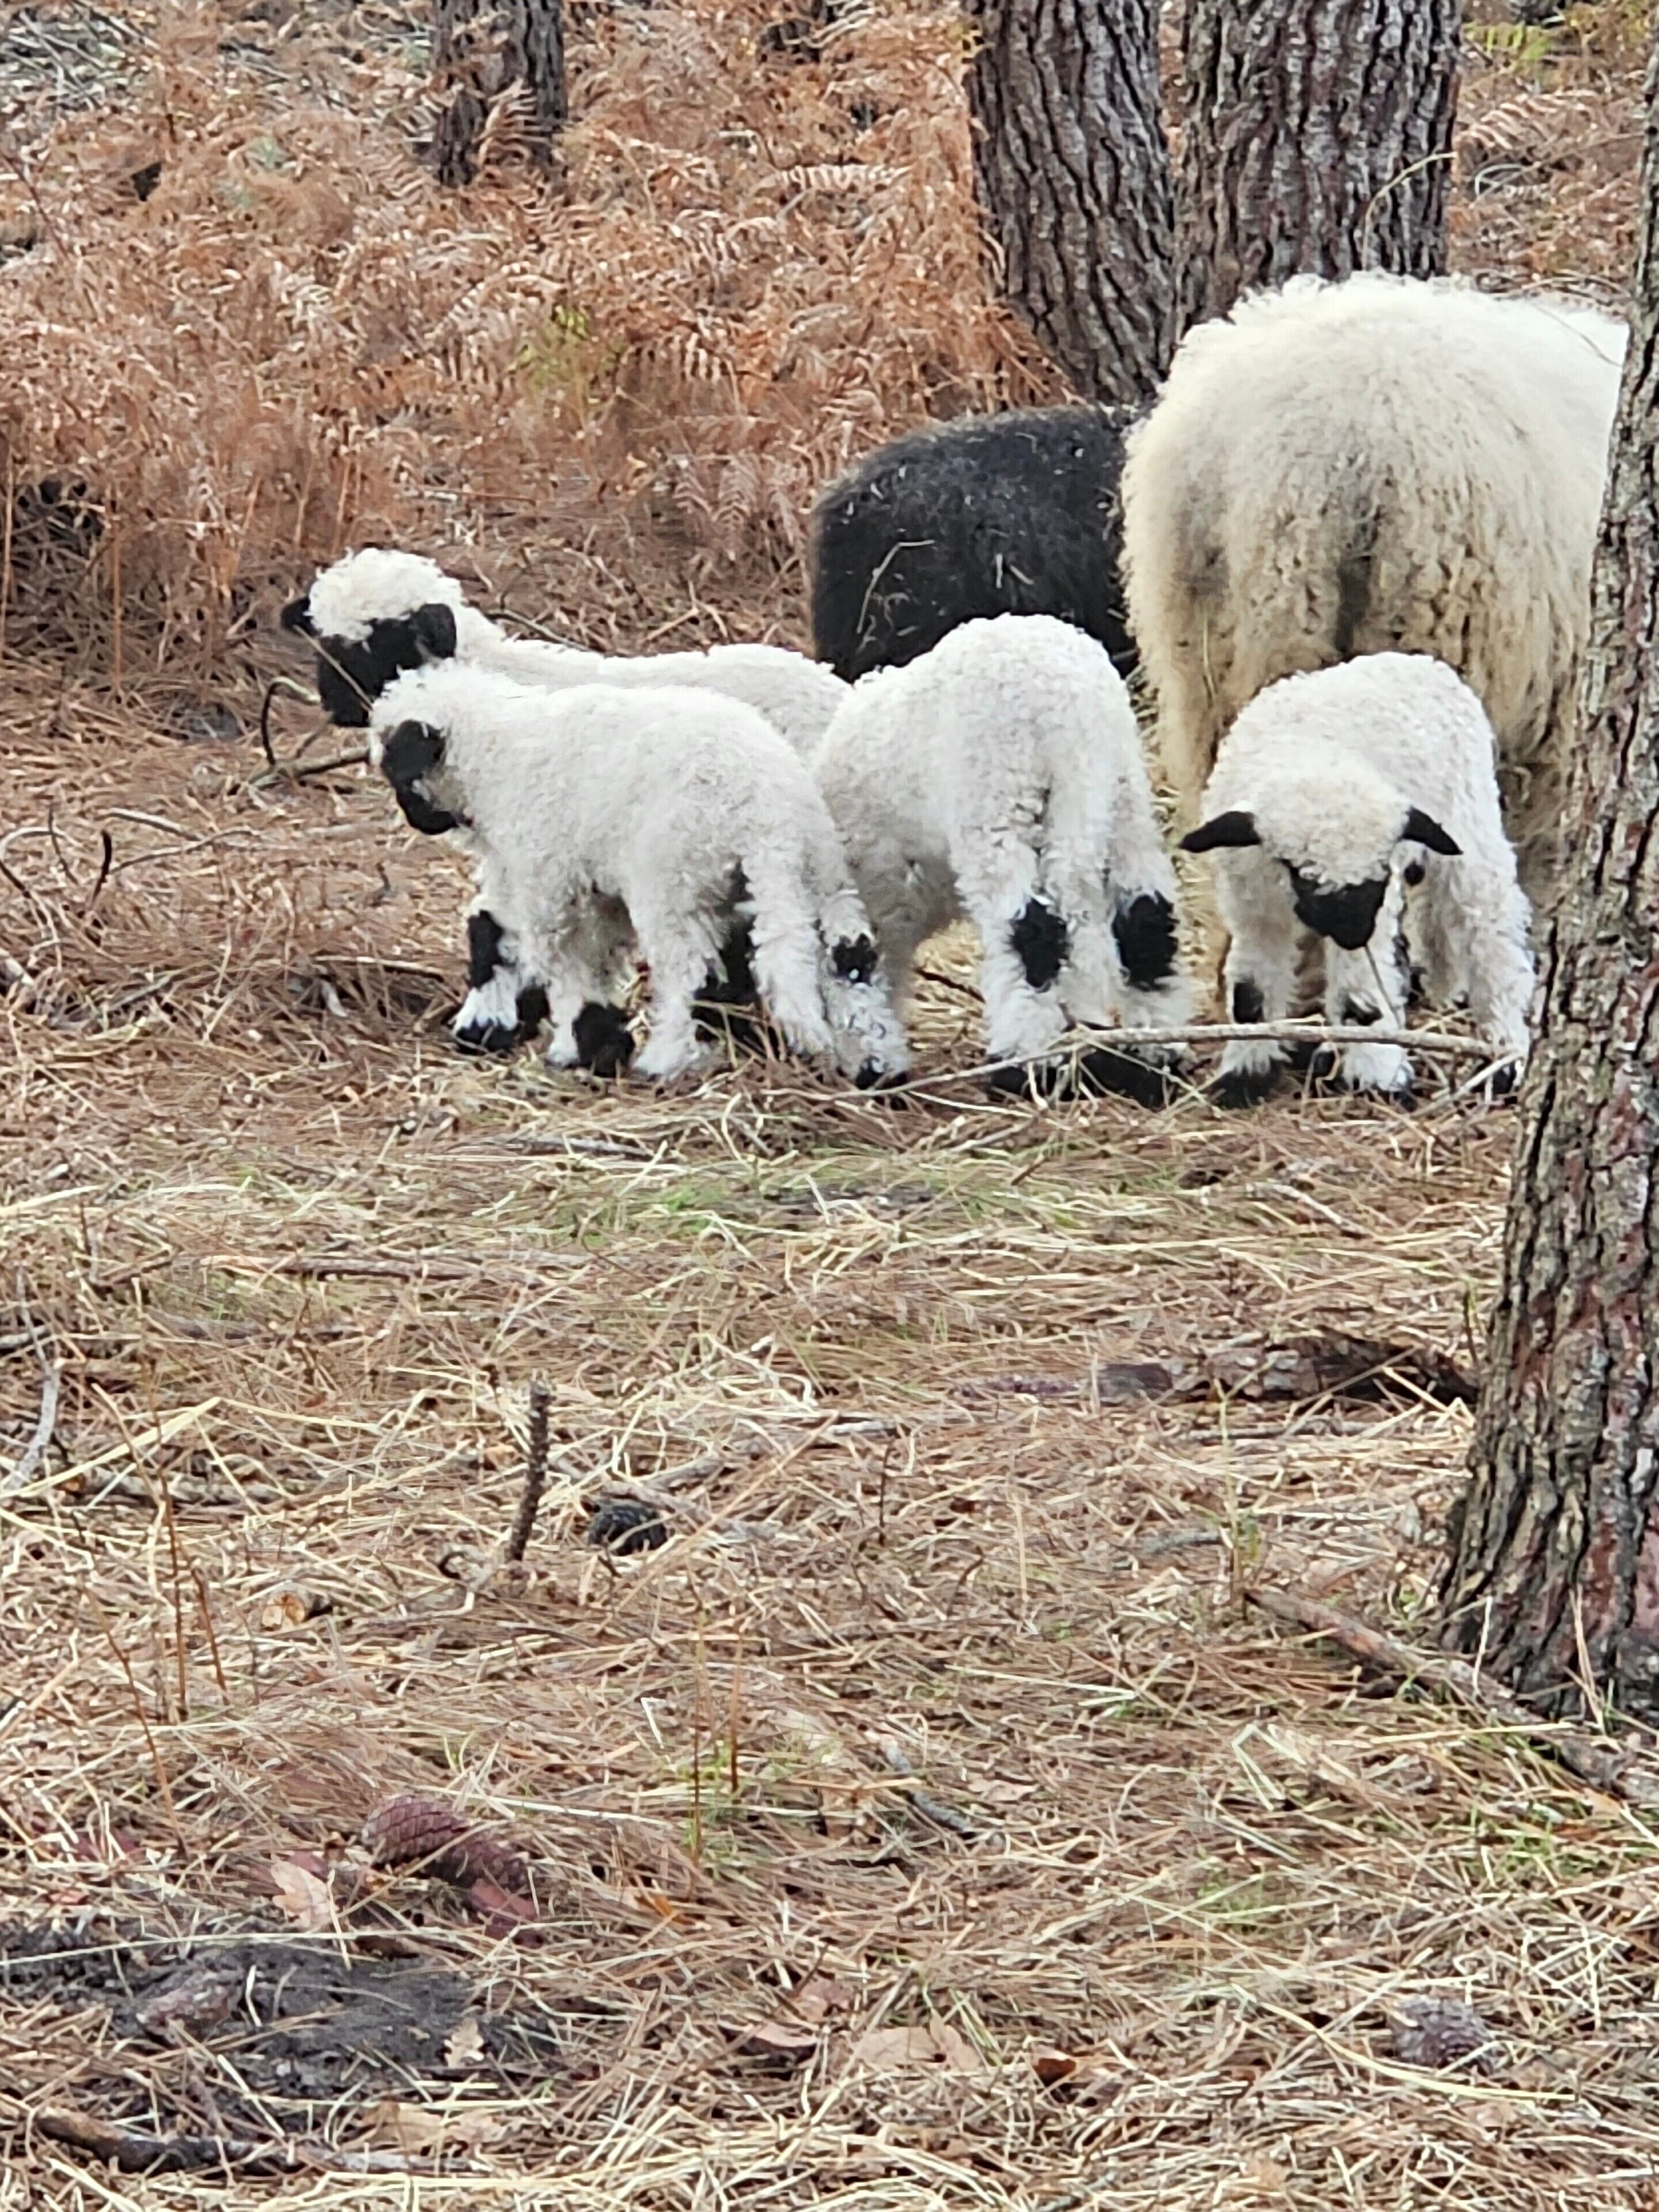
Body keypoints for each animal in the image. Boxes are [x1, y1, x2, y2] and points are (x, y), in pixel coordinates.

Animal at [365, 662, 911, 1089]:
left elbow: (563, 966)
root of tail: (763, 810)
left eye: (396, 768)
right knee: (851, 958)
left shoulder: (549, 883)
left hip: (672, 882)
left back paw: (666, 1060)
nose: (467, 1039)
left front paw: (580, 1048)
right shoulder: (599, 893)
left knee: (687, 972)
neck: (500, 753)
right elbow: (600, 960)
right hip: (824, 877)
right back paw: (877, 1060)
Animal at [813, 613, 1191, 1103]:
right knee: (1147, 919)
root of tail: (1067, 705)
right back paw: (1156, 1060)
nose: (867, 1076)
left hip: (998, 805)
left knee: (1033, 933)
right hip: (1121, 794)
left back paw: (1024, 1065)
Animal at [1179, 654, 1536, 1106]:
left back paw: (1504, 1058)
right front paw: (1245, 1074)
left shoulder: (1377, 910)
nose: (1352, 934)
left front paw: (1377, 1077)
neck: (1314, 756)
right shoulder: (1253, 907)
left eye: (1379, 873)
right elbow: (1251, 990)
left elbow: (1360, 993)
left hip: (1470, 823)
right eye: (1296, 869)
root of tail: (1425, 663)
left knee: (1491, 935)